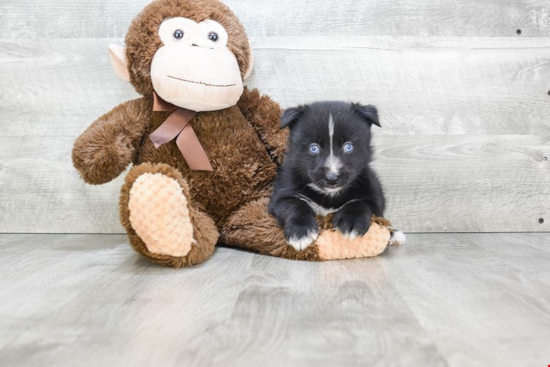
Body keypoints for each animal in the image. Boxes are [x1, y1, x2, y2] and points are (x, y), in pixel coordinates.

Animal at [270, 100, 406, 252]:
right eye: (313, 148)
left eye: (348, 147)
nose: (332, 178)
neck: (329, 195)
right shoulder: (283, 191)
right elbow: (294, 204)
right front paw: (300, 232)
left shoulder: (373, 193)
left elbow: (361, 203)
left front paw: (351, 223)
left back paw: (394, 235)